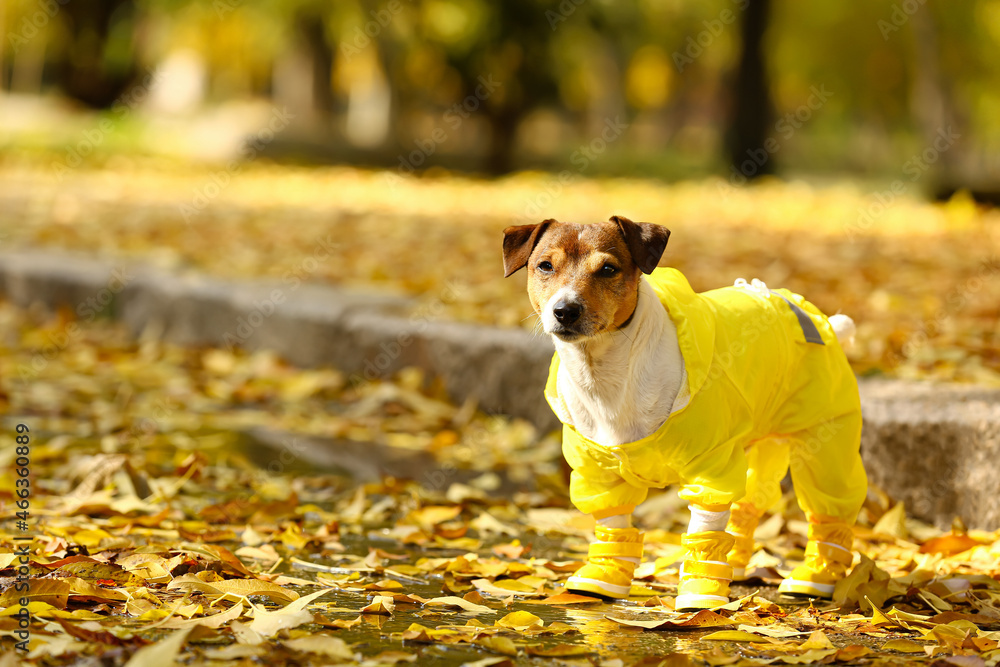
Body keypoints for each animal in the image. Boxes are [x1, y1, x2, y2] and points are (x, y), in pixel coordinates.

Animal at [504, 217, 864, 608]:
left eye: (608, 269)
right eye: (545, 266)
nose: (565, 310)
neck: (607, 377)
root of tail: (821, 318)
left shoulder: (711, 469)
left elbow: (704, 530)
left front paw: (701, 592)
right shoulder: (598, 472)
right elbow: (613, 522)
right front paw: (603, 576)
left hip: (825, 443)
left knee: (828, 505)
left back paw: (817, 576)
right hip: (758, 446)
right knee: (748, 505)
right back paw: (737, 567)